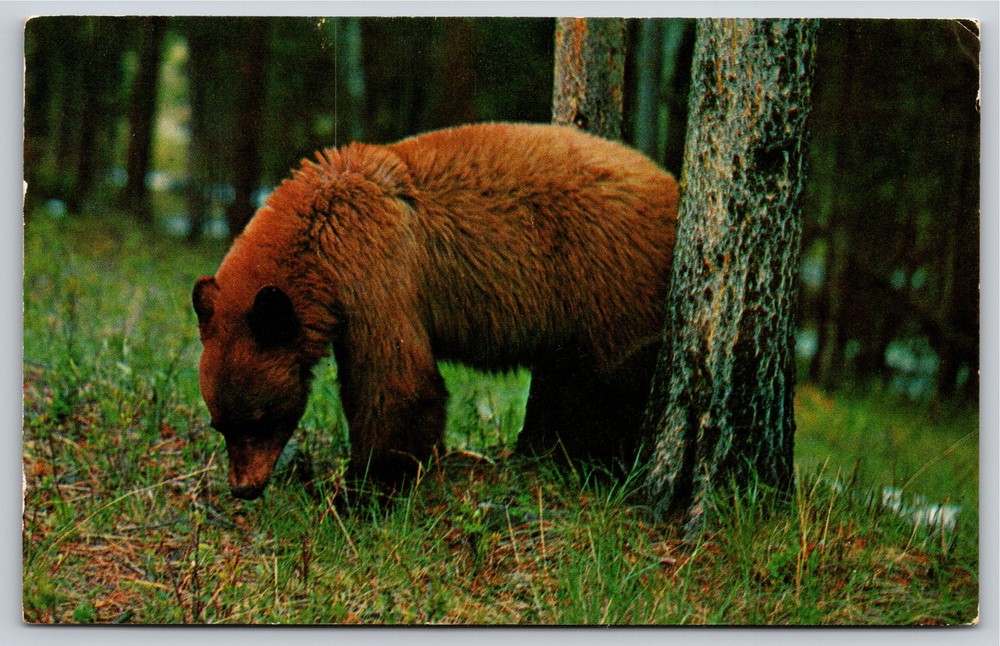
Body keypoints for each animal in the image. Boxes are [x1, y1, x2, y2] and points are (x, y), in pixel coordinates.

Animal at [192, 122, 679, 500]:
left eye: (259, 420)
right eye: (220, 424)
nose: (243, 488)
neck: (320, 231)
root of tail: (674, 186)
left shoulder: (376, 269)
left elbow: (395, 380)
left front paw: (364, 488)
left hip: (612, 279)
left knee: (612, 379)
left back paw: (601, 463)